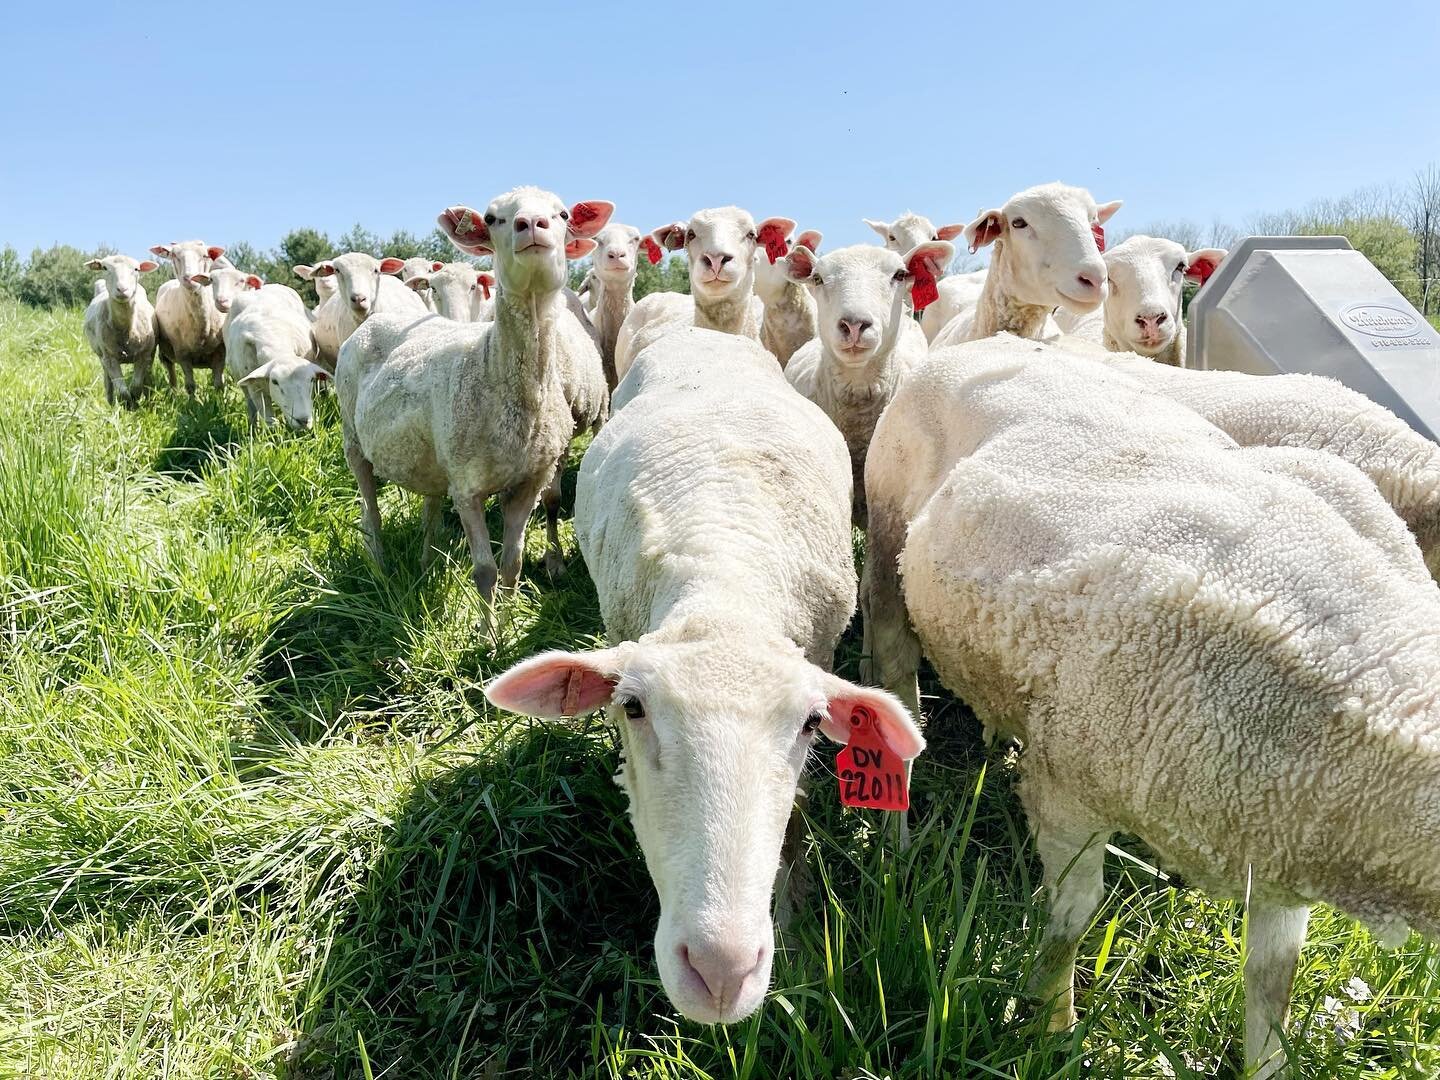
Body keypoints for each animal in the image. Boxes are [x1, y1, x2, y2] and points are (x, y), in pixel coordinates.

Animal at [82, 255, 160, 407]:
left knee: (147, 379)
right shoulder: (110, 358)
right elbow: (123, 391)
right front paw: (128, 405)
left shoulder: (144, 355)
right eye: (105, 268)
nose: (122, 289)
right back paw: (111, 403)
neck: (125, 329)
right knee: (108, 382)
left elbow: (136, 385)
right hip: (102, 357)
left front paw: (135, 402)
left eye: (136, 269)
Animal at [149, 240, 228, 395]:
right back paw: (174, 392)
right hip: (165, 352)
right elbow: (190, 386)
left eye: (205, 255)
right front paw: (192, 401)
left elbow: (219, 385)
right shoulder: (182, 353)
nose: (190, 277)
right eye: (174, 255)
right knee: (170, 369)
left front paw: (218, 399)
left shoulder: (220, 352)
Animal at [335, 187, 612, 608]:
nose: (531, 223)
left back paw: (425, 563)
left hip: (431, 458)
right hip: (353, 440)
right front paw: (489, 626)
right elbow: (485, 572)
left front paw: (511, 615)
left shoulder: (529, 481)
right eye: (493, 218)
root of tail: (374, 320)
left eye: (563, 214)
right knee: (371, 514)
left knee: (430, 506)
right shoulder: (467, 488)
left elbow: (513, 563)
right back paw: (379, 569)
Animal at [484, 324, 924, 1025]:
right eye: (632, 707)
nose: (720, 970)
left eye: (811, 724)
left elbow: (795, 823)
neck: (727, 583)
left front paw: (793, 918)